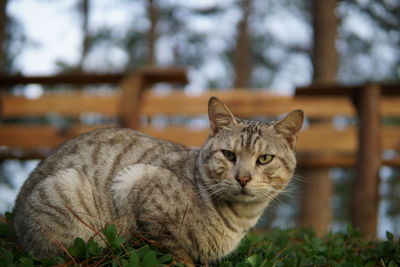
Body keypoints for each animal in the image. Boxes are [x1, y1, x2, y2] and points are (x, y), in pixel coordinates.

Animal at [13, 98, 304, 266]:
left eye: (264, 159)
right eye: (229, 155)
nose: (243, 178)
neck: (240, 218)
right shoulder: (135, 184)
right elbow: (172, 251)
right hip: (68, 189)